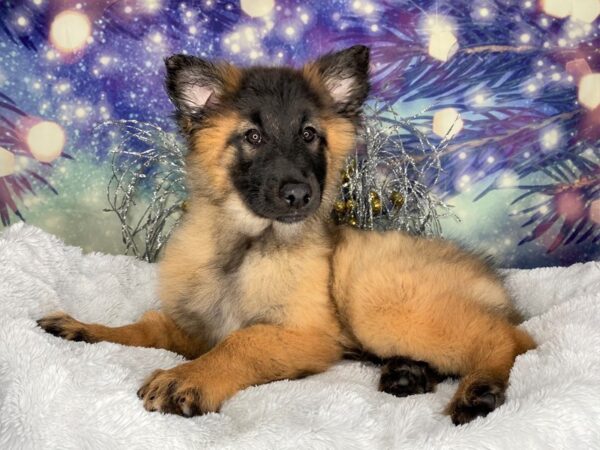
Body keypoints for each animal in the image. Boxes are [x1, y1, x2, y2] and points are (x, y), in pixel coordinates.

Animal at [37, 45, 536, 426]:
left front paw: (188, 380)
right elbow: (143, 327)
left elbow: (242, 341)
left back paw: (477, 391)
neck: (247, 246)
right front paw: (85, 329)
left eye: (310, 134)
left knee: (508, 340)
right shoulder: (193, 329)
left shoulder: (307, 334)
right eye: (253, 136)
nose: (299, 195)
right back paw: (407, 374)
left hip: (374, 293)